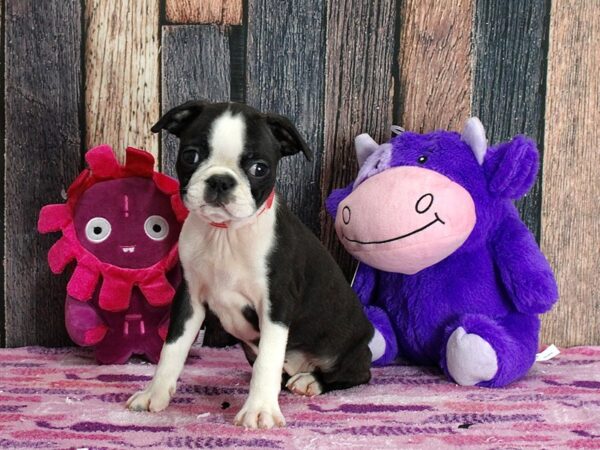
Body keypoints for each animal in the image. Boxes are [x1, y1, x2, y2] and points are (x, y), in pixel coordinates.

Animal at [126, 101, 370, 428]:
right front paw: (154, 393)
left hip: (350, 351)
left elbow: (268, 360)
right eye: (190, 156)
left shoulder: (276, 305)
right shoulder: (188, 299)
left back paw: (311, 380)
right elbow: (172, 348)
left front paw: (260, 409)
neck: (224, 234)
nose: (220, 180)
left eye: (259, 169)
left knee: (353, 374)